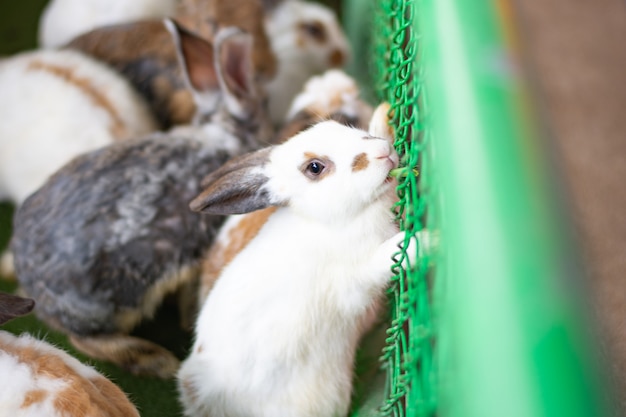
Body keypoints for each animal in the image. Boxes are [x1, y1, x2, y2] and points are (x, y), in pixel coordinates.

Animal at [177, 104, 414, 416]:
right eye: (314, 167)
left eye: (338, 127)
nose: (382, 151)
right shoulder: (354, 281)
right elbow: (386, 258)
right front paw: (422, 240)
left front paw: (383, 114)